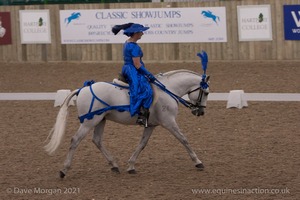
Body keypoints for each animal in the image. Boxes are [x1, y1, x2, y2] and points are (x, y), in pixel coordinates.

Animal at [44, 69, 210, 177]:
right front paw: (198, 162)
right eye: (206, 93)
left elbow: (142, 144)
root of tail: (83, 88)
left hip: (100, 120)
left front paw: (131, 166)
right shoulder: (169, 122)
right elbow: (184, 139)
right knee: (75, 140)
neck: (168, 90)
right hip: (89, 122)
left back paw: (114, 165)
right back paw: (64, 170)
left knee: (97, 140)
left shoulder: (151, 125)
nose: (200, 112)